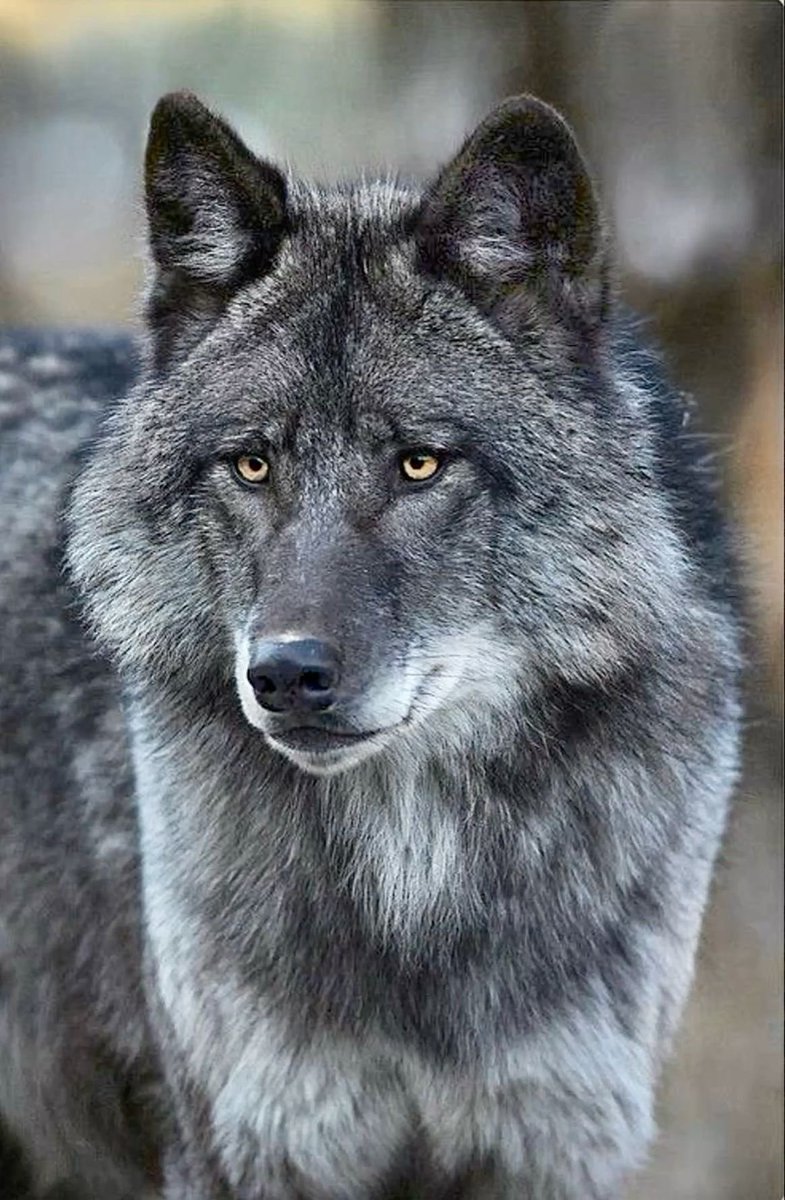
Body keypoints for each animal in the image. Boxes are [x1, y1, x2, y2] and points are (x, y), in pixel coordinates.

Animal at [0, 92, 741, 1199]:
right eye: (252, 465)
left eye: (419, 464)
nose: (284, 675)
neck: (415, 874)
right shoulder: (248, 1150)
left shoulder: (554, 1149)